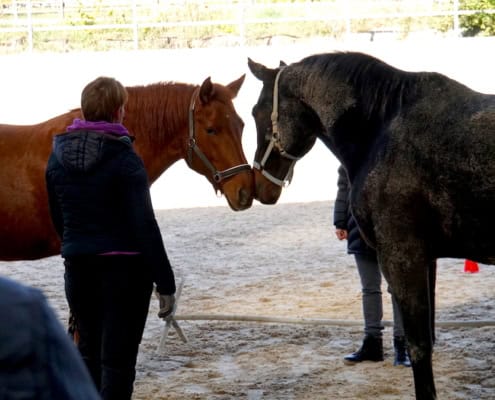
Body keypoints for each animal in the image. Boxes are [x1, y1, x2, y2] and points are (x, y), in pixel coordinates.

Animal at [248, 53, 495, 400]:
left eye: (256, 113)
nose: (260, 187)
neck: (383, 128)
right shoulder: (426, 260)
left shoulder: (402, 258)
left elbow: (419, 347)